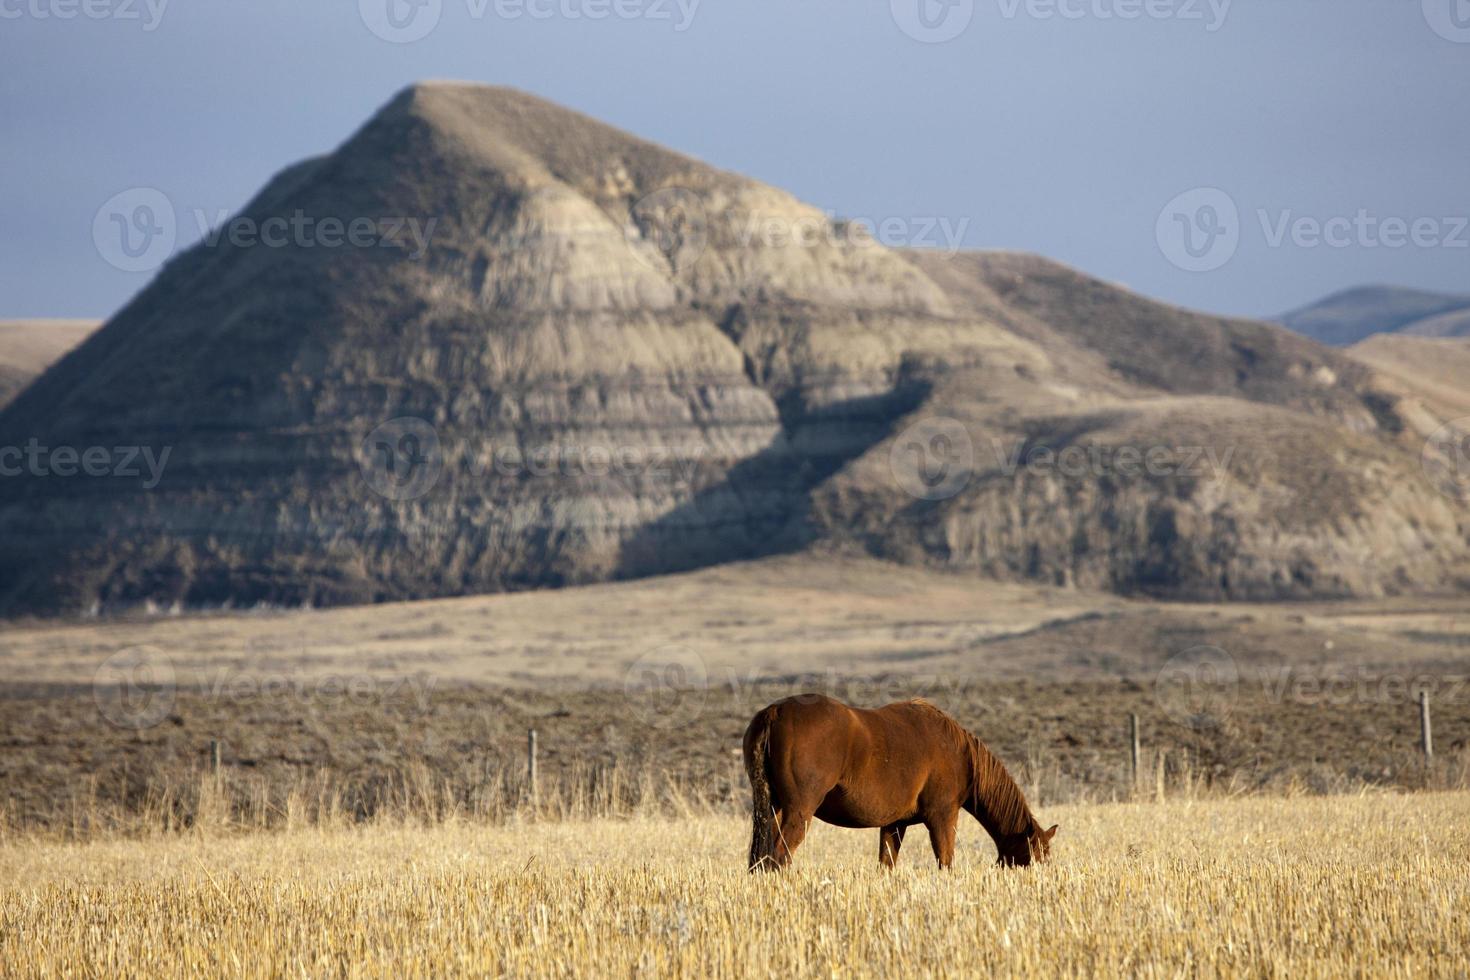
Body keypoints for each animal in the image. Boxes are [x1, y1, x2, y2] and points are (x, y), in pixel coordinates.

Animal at [746, 693, 1058, 869]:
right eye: (1036, 858)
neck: (959, 752)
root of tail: (775, 712)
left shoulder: (893, 824)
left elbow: (887, 865)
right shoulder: (943, 816)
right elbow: (945, 862)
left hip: (773, 811)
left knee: (760, 861)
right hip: (799, 812)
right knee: (779, 857)